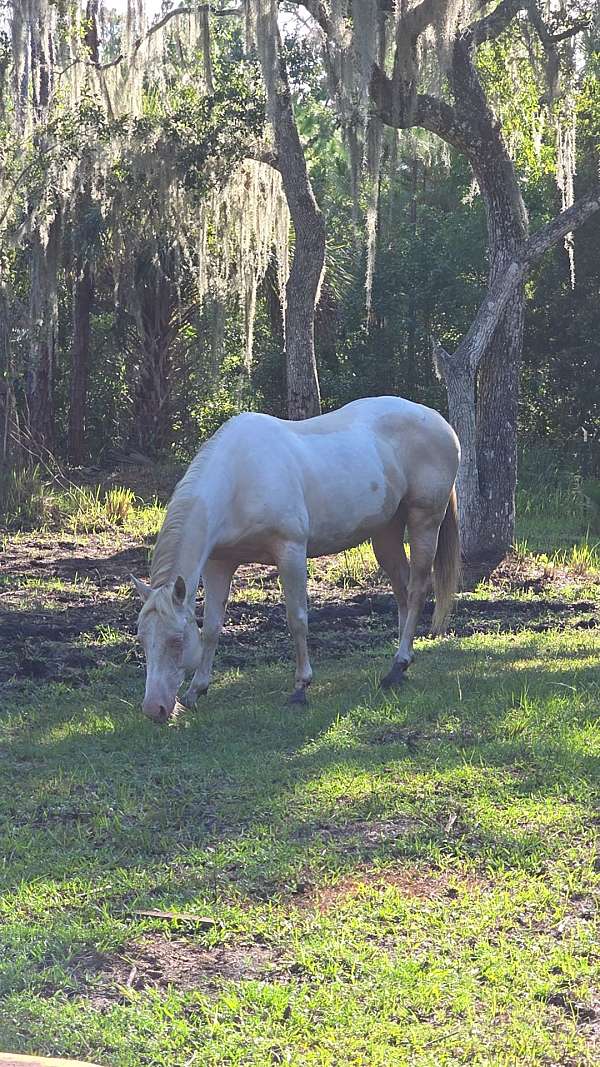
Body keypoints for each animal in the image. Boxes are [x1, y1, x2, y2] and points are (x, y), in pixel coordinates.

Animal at [132, 396, 460, 722]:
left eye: (176, 640)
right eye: (143, 639)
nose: (154, 709)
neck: (239, 478)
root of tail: (437, 420)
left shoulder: (290, 552)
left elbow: (297, 619)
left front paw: (301, 688)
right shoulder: (219, 564)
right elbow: (212, 627)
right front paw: (196, 691)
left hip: (424, 520)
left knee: (417, 590)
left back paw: (401, 660)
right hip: (387, 531)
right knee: (402, 590)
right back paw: (397, 669)